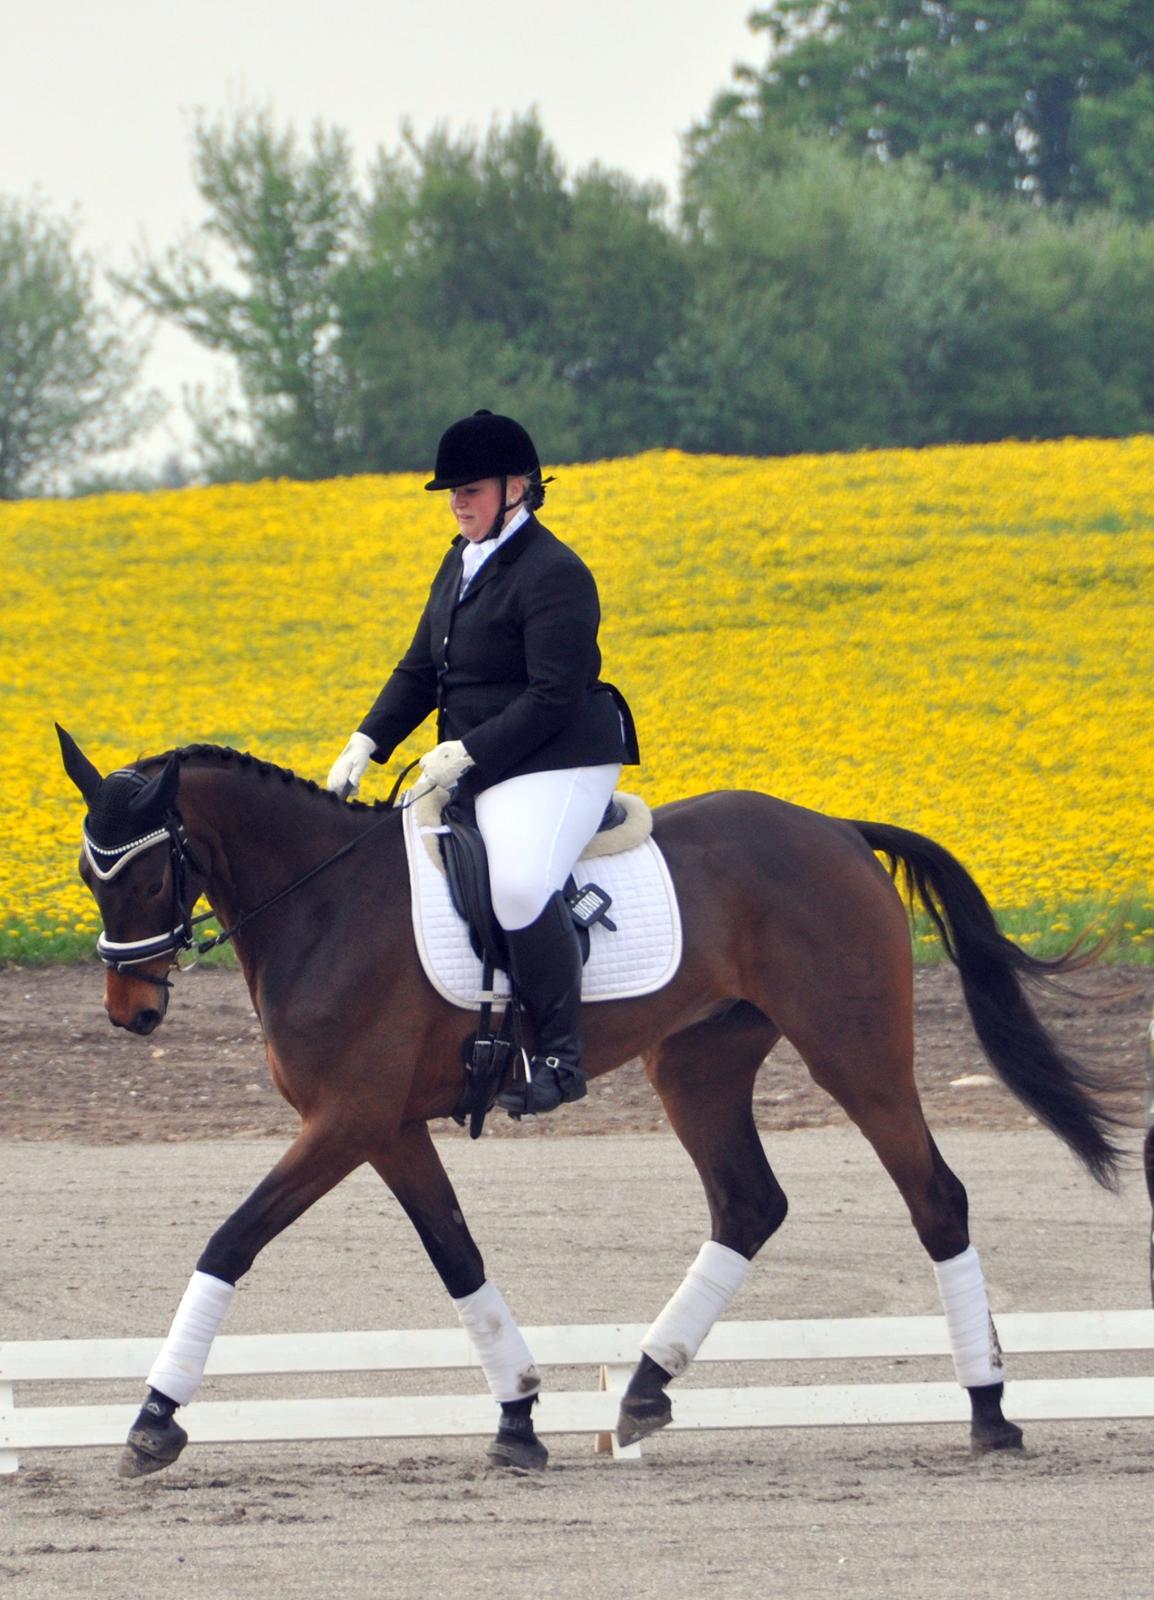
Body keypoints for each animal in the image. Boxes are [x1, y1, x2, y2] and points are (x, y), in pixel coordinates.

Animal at [56, 726, 1126, 1472]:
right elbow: (458, 1257)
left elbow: (231, 1240)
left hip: (854, 1053)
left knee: (934, 1198)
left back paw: (990, 1412)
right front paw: (518, 1419)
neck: (324, 905)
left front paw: (152, 1420)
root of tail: (835, 830)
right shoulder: (386, 1126)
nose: (130, 1012)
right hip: (697, 1064)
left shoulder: (345, 1120)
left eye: (146, 873)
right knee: (749, 1204)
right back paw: (644, 1391)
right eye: (85, 871)